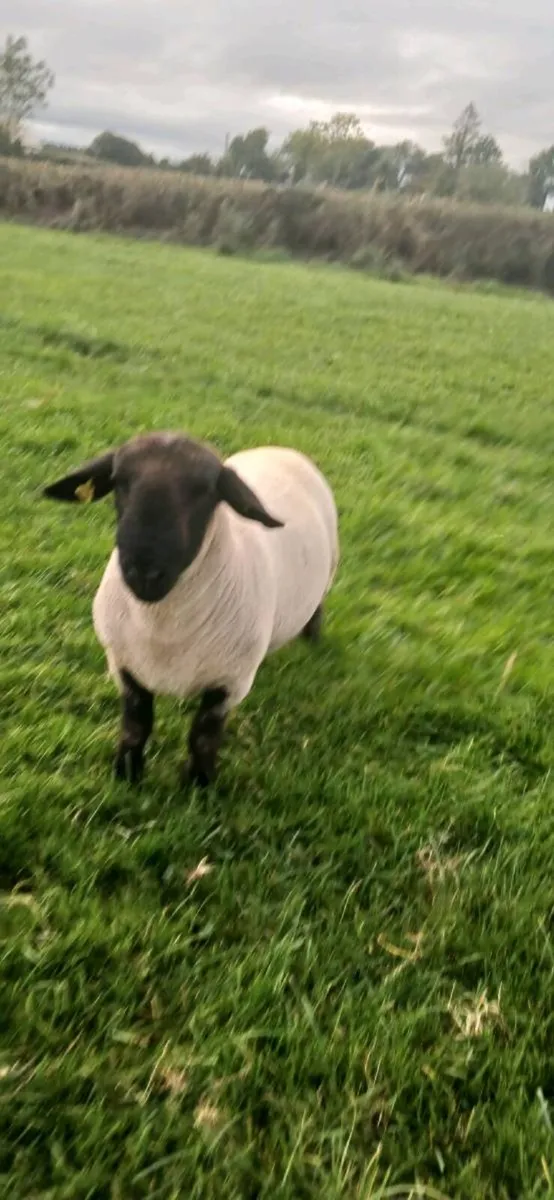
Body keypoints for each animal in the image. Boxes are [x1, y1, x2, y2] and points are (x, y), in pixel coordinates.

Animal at [43, 432, 339, 787]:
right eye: (119, 481)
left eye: (206, 491)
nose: (144, 571)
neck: (162, 628)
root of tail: (280, 449)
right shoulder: (123, 665)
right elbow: (136, 724)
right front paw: (127, 772)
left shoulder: (229, 683)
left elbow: (203, 736)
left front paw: (199, 784)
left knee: (318, 607)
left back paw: (312, 640)